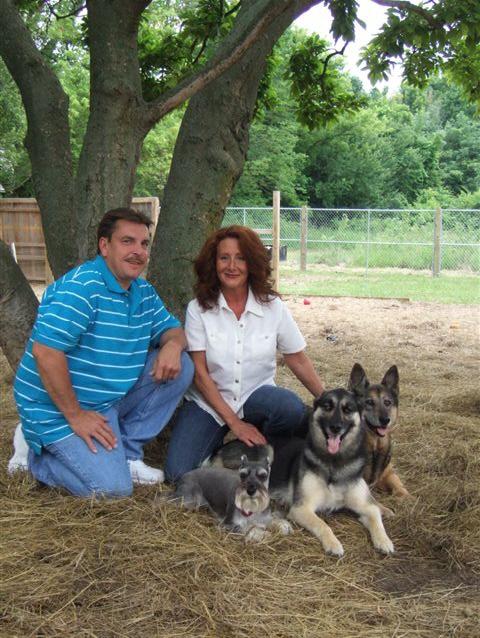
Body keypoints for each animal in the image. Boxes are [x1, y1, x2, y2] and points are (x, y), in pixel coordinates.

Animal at [348, 364, 408, 500]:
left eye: (387, 402)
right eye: (369, 402)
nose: (385, 420)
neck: (376, 443)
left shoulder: (389, 473)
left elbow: (401, 489)